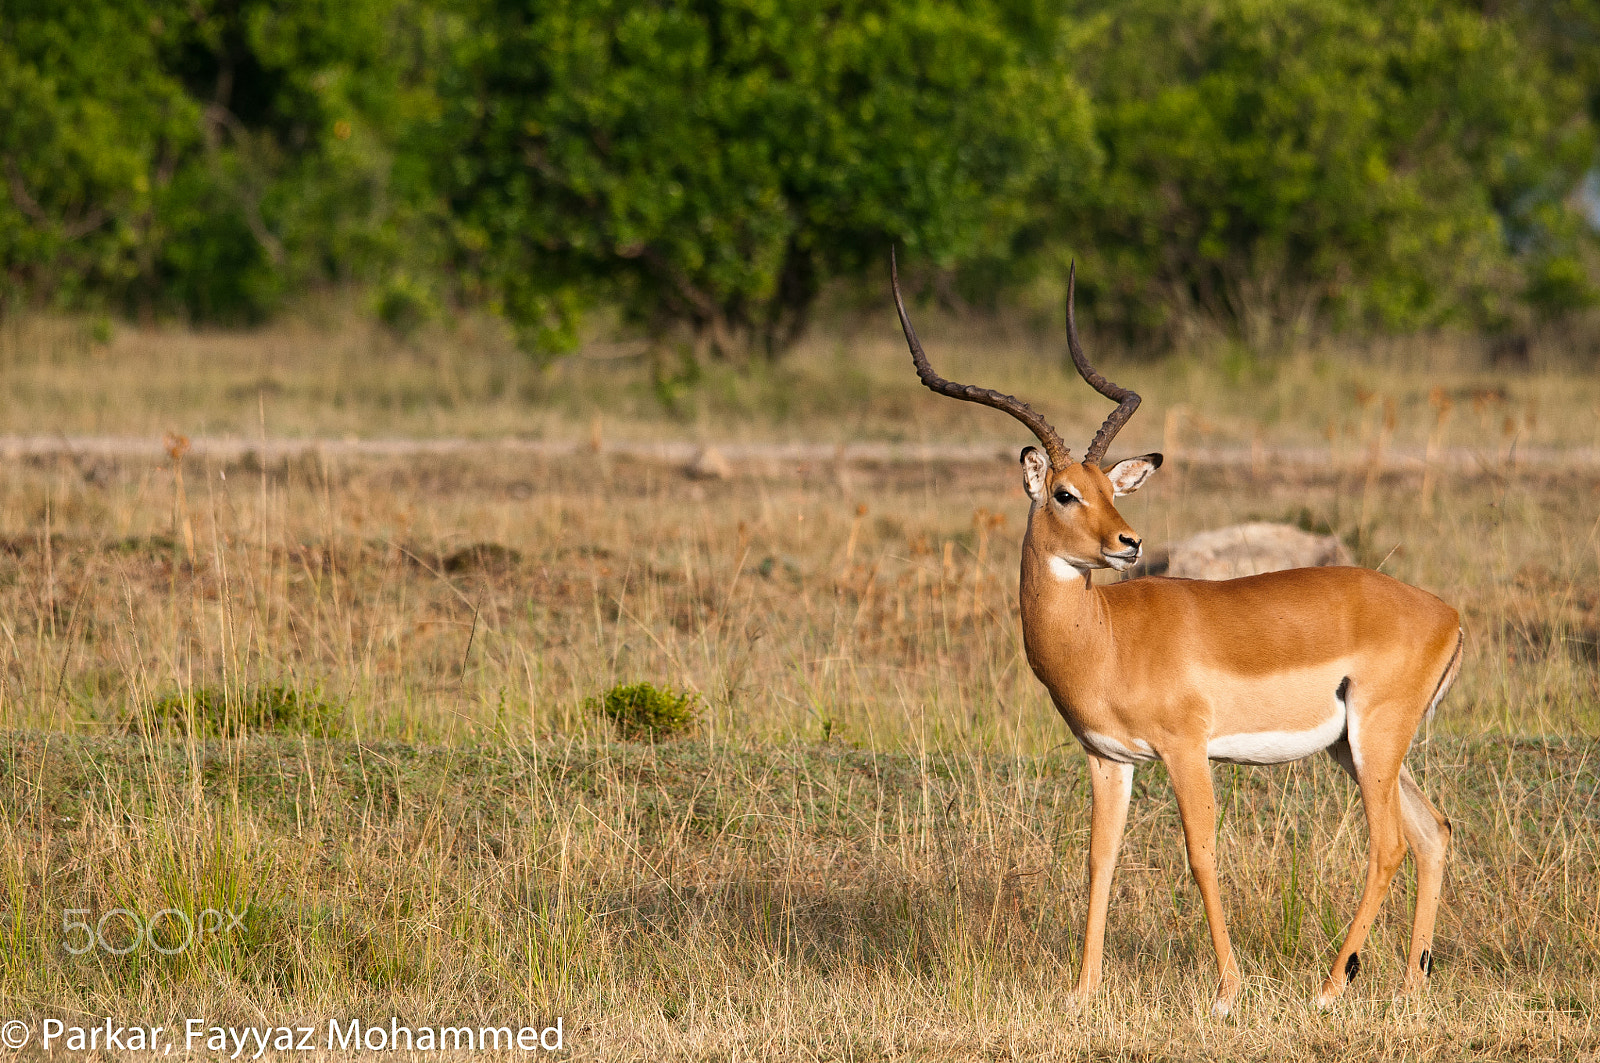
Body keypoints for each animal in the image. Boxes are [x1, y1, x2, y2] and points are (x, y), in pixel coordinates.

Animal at [891, 253, 1461, 1017]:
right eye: (1068, 492)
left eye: (1111, 490)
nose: (1129, 543)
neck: (1106, 638)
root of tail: (1446, 613)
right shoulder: (1109, 758)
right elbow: (1100, 859)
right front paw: (1081, 993)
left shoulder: (1187, 750)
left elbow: (1201, 854)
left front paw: (1227, 994)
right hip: (1357, 748)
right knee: (1433, 832)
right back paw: (1406, 987)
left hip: (1374, 739)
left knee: (1390, 844)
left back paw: (1328, 987)